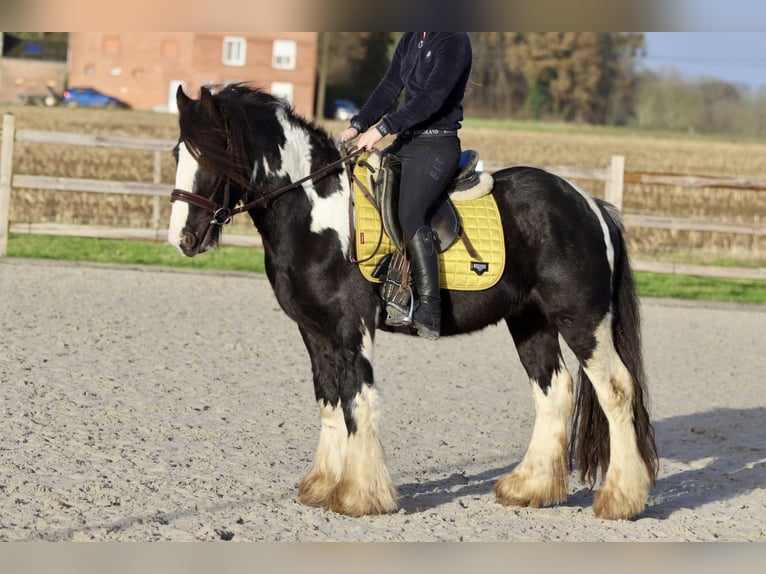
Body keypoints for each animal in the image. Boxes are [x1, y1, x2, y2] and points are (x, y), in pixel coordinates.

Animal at [168, 84, 660, 520]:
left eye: (212, 154)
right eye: (178, 155)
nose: (184, 239)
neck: (317, 214)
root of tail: (588, 203)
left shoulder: (351, 326)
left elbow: (358, 401)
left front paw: (359, 495)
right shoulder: (313, 330)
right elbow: (329, 400)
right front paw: (321, 486)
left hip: (582, 319)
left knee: (617, 390)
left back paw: (619, 500)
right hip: (530, 321)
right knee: (555, 391)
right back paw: (529, 488)